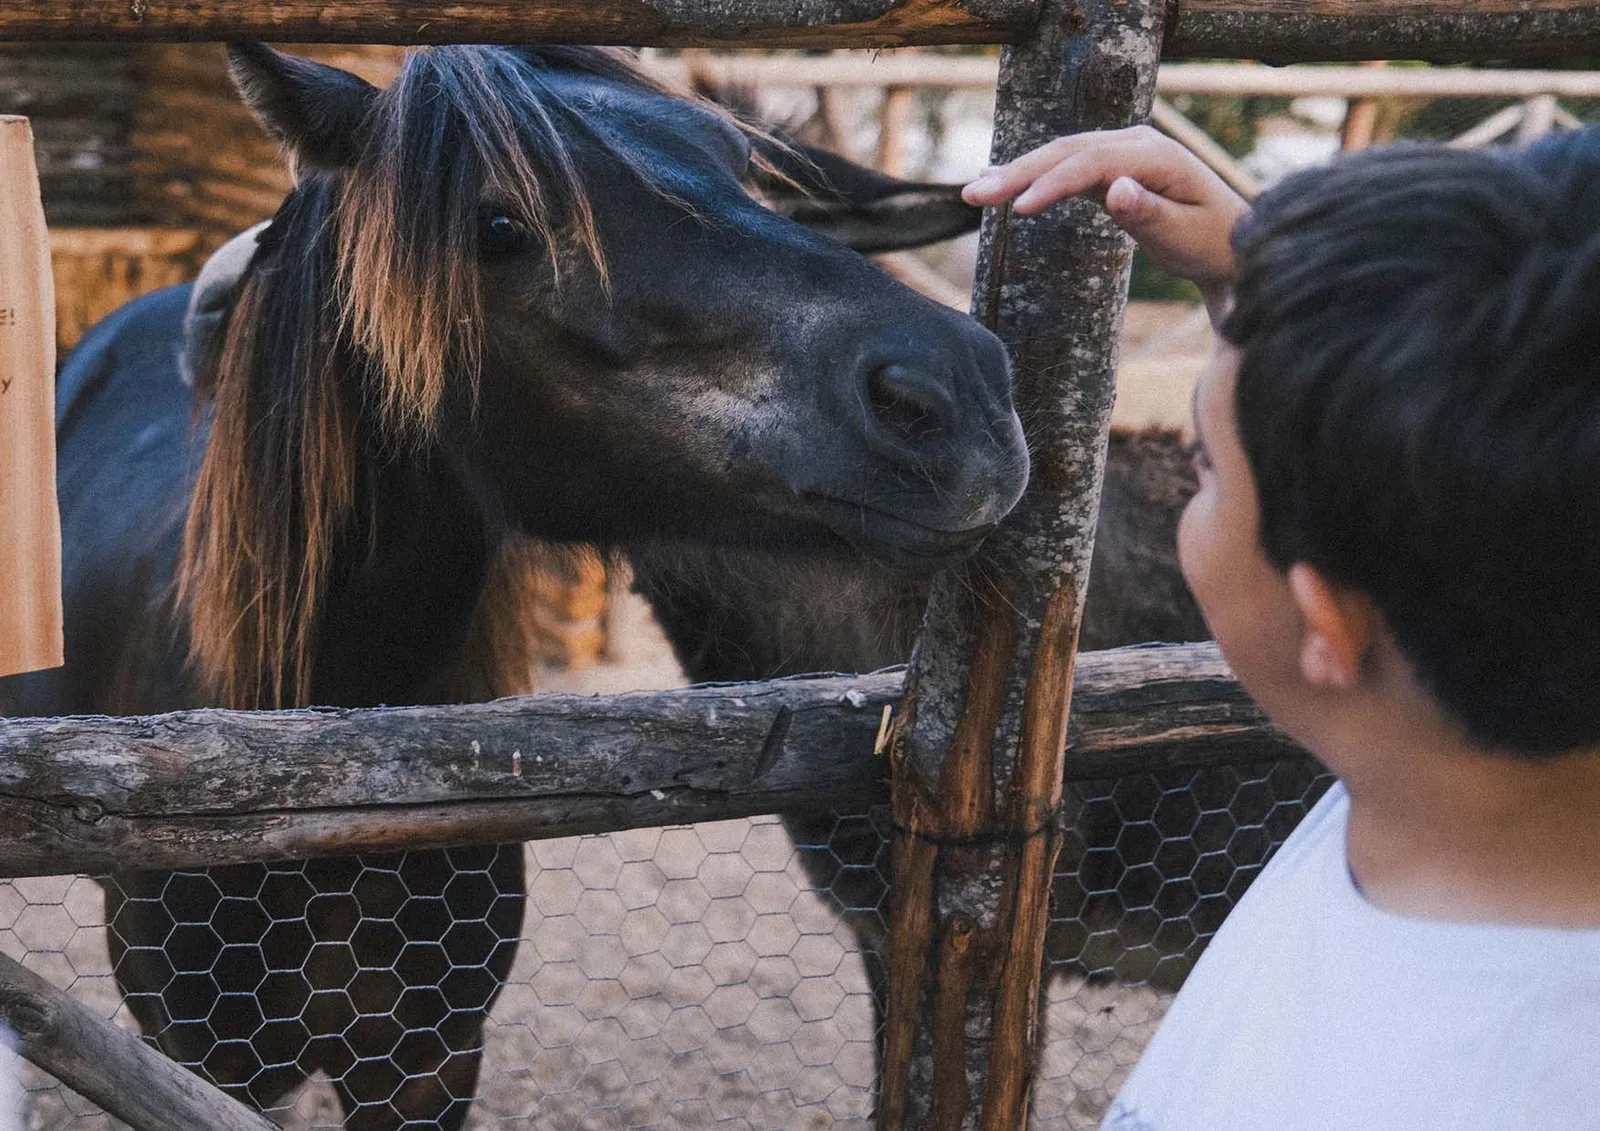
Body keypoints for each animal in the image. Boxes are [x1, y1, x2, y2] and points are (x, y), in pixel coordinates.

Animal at [0, 43, 1029, 1129]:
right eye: (499, 227)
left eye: (746, 173)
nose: (963, 393)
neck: (314, 792)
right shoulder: (210, 1066)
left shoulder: (430, 1065)